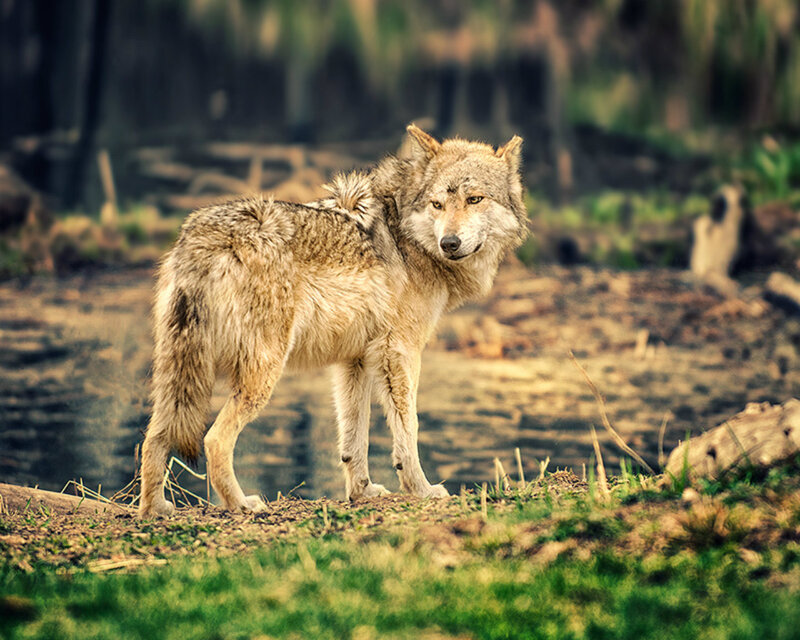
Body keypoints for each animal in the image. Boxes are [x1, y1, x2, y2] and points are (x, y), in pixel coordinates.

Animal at [138, 125, 527, 517]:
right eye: (437, 204)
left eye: (475, 199)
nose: (449, 242)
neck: (406, 234)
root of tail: (203, 238)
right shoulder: (400, 351)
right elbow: (408, 431)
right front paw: (422, 490)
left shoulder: (353, 361)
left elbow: (354, 438)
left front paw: (362, 492)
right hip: (261, 373)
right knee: (214, 440)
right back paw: (242, 505)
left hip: (178, 377)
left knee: (152, 438)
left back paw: (155, 510)